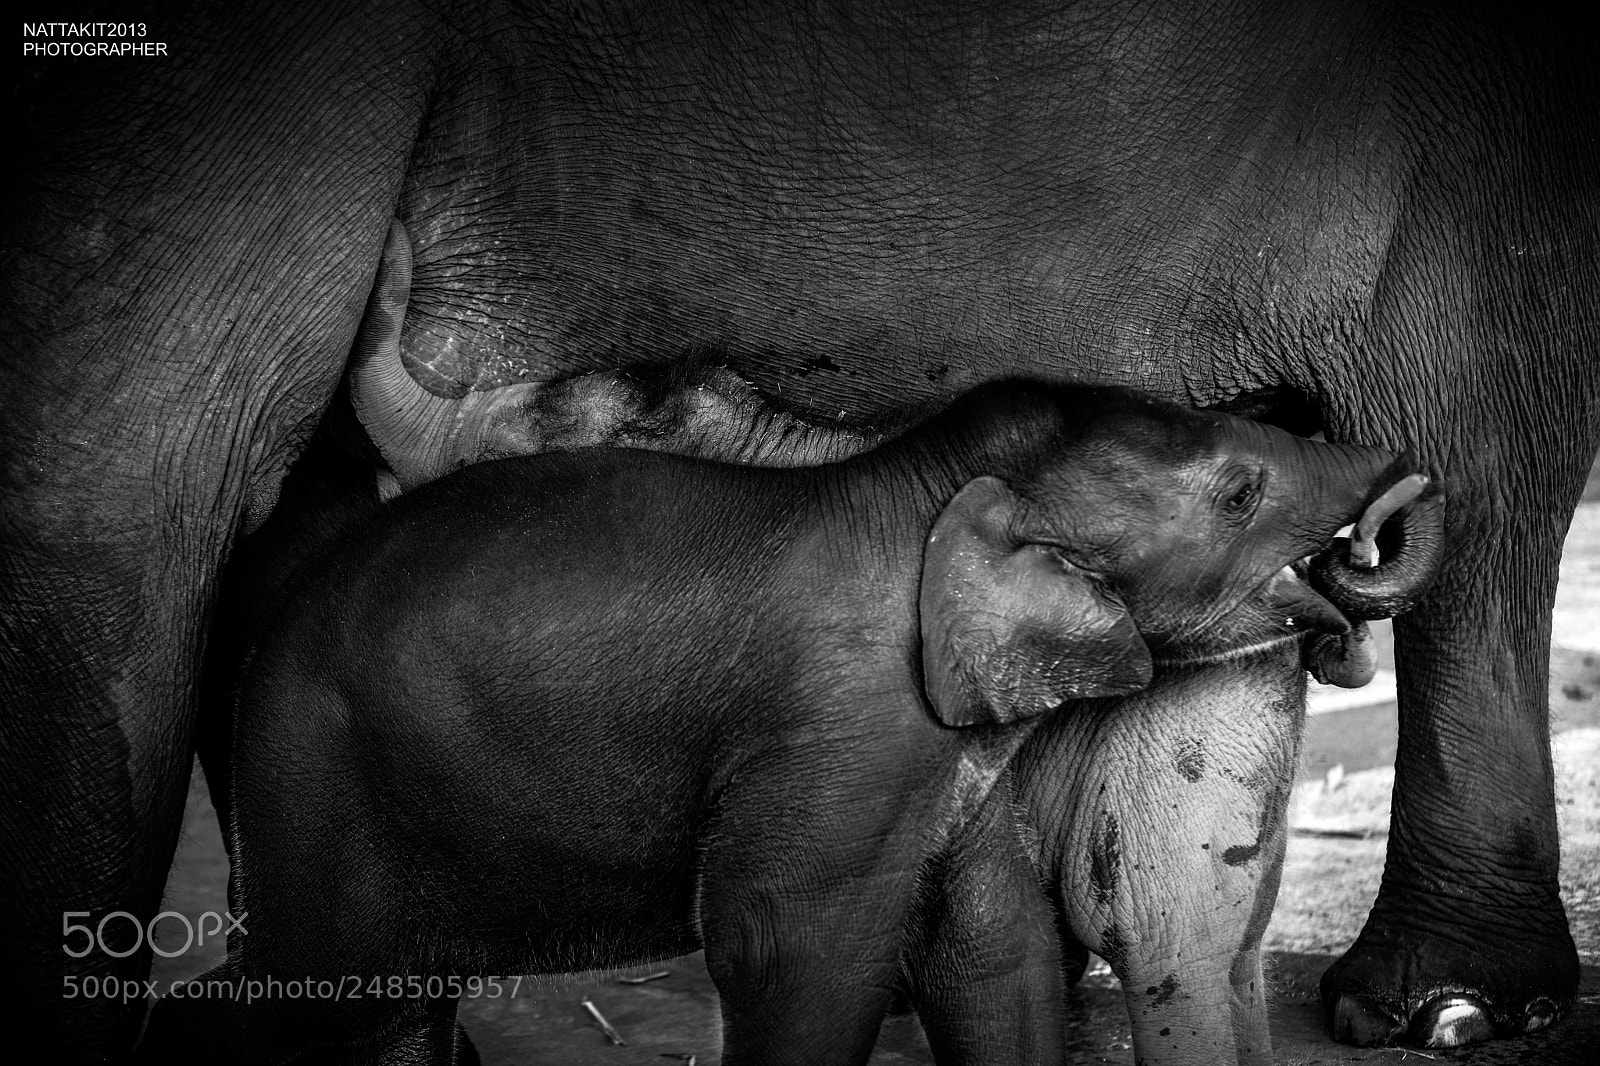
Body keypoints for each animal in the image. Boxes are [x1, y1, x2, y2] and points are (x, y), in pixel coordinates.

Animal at [140, 380, 1441, 1065]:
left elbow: (988, 942)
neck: (913, 489)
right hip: (314, 774)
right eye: (1238, 492)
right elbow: (790, 951)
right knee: (320, 994)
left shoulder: (952, 755)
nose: (1398, 476)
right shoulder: (842, 722)